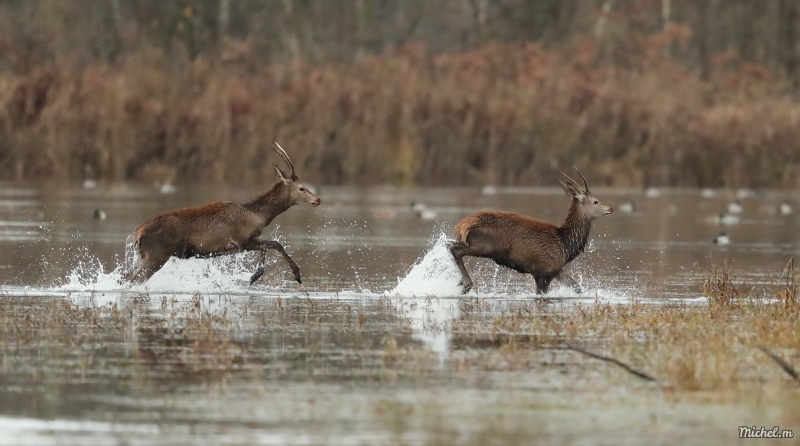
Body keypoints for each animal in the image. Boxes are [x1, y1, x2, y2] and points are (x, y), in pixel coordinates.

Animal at [126, 143, 320, 286]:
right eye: (301, 188)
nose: (317, 199)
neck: (260, 215)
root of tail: (138, 233)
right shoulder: (242, 240)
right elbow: (275, 244)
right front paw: (296, 275)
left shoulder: (241, 244)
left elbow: (267, 247)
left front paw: (254, 276)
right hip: (156, 255)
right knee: (133, 281)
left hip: (143, 257)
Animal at [450, 167, 612, 296]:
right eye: (596, 201)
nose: (610, 208)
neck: (567, 246)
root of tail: (461, 225)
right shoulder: (543, 272)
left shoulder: (556, 269)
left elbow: (577, 287)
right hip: (488, 246)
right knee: (455, 249)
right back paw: (466, 285)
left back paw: (459, 282)